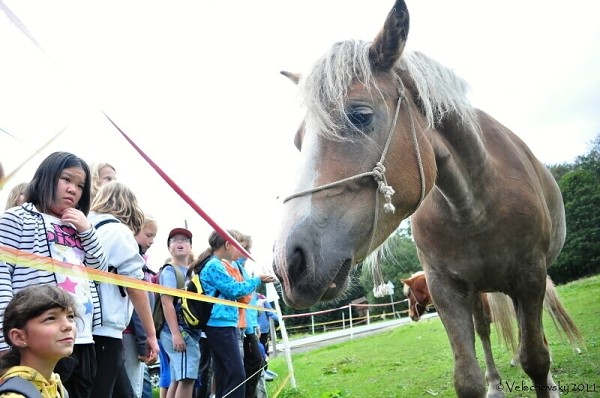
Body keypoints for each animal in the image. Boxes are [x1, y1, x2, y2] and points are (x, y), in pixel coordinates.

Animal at [272, 1, 580, 396]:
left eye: (360, 115)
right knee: (485, 329)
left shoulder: (530, 277)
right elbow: (467, 377)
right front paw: (487, 382)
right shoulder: (445, 288)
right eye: (298, 140)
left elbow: (536, 359)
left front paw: (546, 379)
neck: (474, 207)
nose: (288, 262)